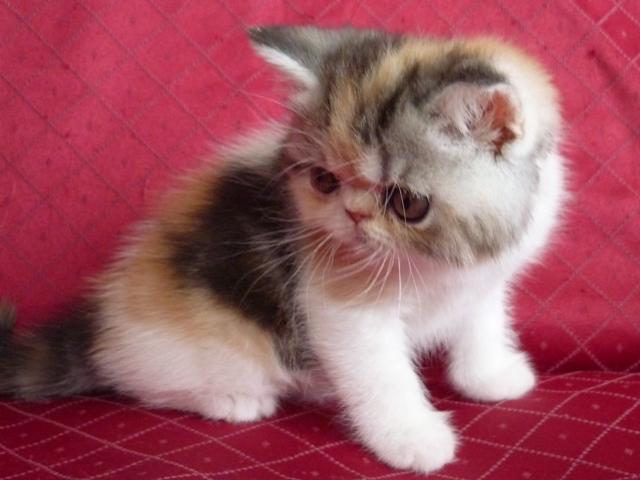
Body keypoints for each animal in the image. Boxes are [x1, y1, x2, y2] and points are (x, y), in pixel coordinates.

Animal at [0, 26, 565, 473]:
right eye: (324, 180)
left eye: (406, 203)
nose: (352, 216)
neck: (443, 260)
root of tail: (98, 323)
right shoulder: (340, 303)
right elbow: (379, 373)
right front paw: (411, 437)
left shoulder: (488, 276)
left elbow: (481, 320)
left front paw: (490, 376)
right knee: (135, 376)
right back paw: (234, 399)